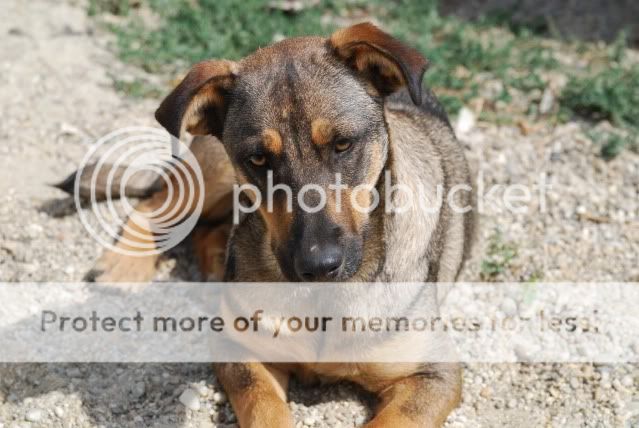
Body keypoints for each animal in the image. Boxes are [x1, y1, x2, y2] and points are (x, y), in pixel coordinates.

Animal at [65, 23, 476, 428]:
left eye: (343, 144)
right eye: (259, 159)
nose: (318, 266)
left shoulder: (434, 373)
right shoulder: (239, 351)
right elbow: (263, 407)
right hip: (211, 174)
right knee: (156, 205)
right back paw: (125, 265)